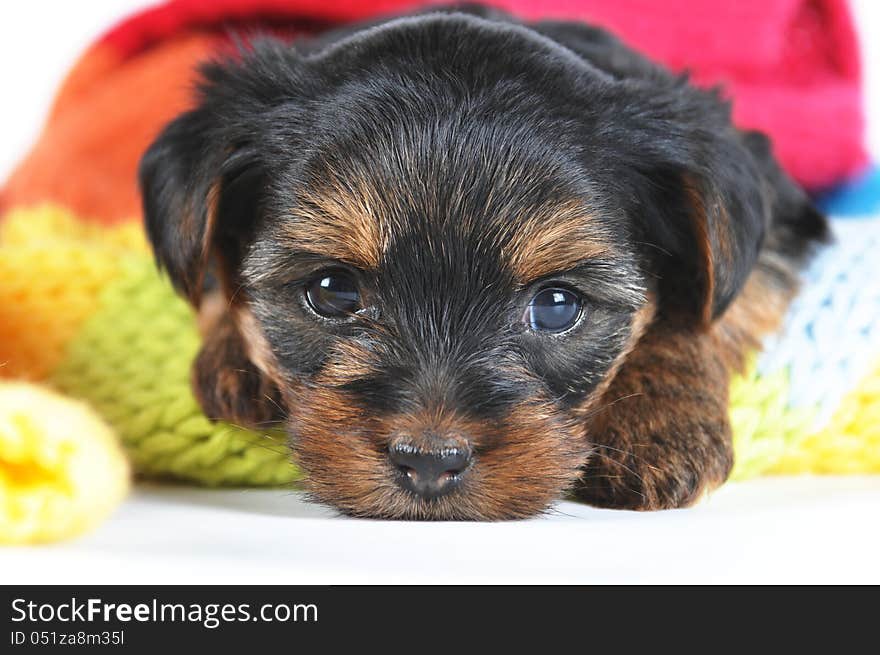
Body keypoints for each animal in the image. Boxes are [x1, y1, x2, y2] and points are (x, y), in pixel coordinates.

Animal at [141, 2, 828, 520]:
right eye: (333, 291)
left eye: (557, 306)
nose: (429, 462)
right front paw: (231, 361)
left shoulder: (775, 222)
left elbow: (705, 312)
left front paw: (660, 423)